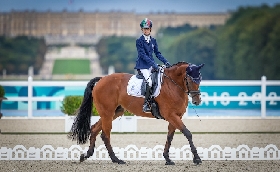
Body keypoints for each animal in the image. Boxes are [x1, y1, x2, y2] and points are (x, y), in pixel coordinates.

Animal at [68, 61, 203, 165]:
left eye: (200, 79)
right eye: (189, 79)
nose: (197, 101)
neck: (173, 85)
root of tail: (101, 79)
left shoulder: (176, 116)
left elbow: (170, 136)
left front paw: (167, 159)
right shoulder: (171, 115)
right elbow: (187, 133)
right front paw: (197, 159)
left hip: (114, 113)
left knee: (94, 129)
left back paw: (86, 155)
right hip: (107, 113)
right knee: (105, 135)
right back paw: (116, 159)